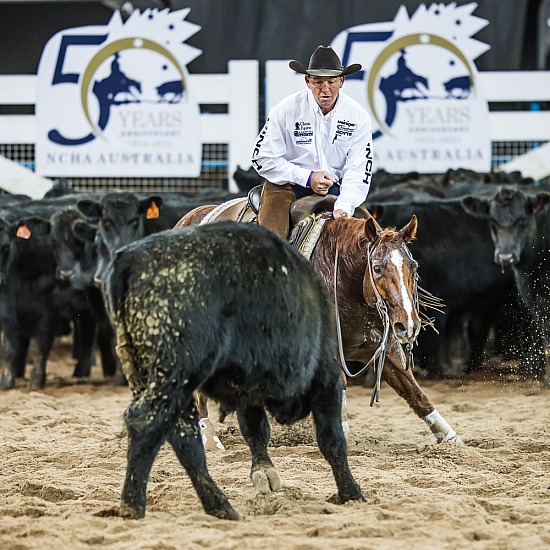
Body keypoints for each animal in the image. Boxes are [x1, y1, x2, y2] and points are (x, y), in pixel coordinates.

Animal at [106, 223, 366, 520]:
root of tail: (131, 258)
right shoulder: (327, 378)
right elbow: (332, 439)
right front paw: (351, 493)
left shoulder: (248, 390)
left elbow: (256, 430)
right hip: (177, 373)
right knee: (147, 423)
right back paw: (134, 505)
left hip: (153, 377)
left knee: (182, 437)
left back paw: (219, 505)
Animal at [176, 201, 462, 450]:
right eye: (378, 268)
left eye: (413, 266)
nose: (407, 325)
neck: (344, 281)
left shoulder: (384, 347)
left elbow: (416, 393)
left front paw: (451, 439)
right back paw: (209, 439)